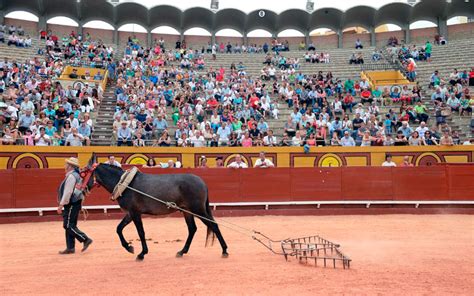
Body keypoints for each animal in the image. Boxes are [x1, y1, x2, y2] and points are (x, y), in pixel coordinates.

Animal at [83, 154, 228, 260]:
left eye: (83, 171)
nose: (82, 189)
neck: (125, 184)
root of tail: (202, 181)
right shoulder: (130, 213)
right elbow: (119, 228)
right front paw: (129, 248)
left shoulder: (135, 213)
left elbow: (140, 232)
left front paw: (142, 253)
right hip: (187, 211)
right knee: (192, 229)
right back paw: (182, 251)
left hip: (198, 210)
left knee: (213, 225)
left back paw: (225, 250)